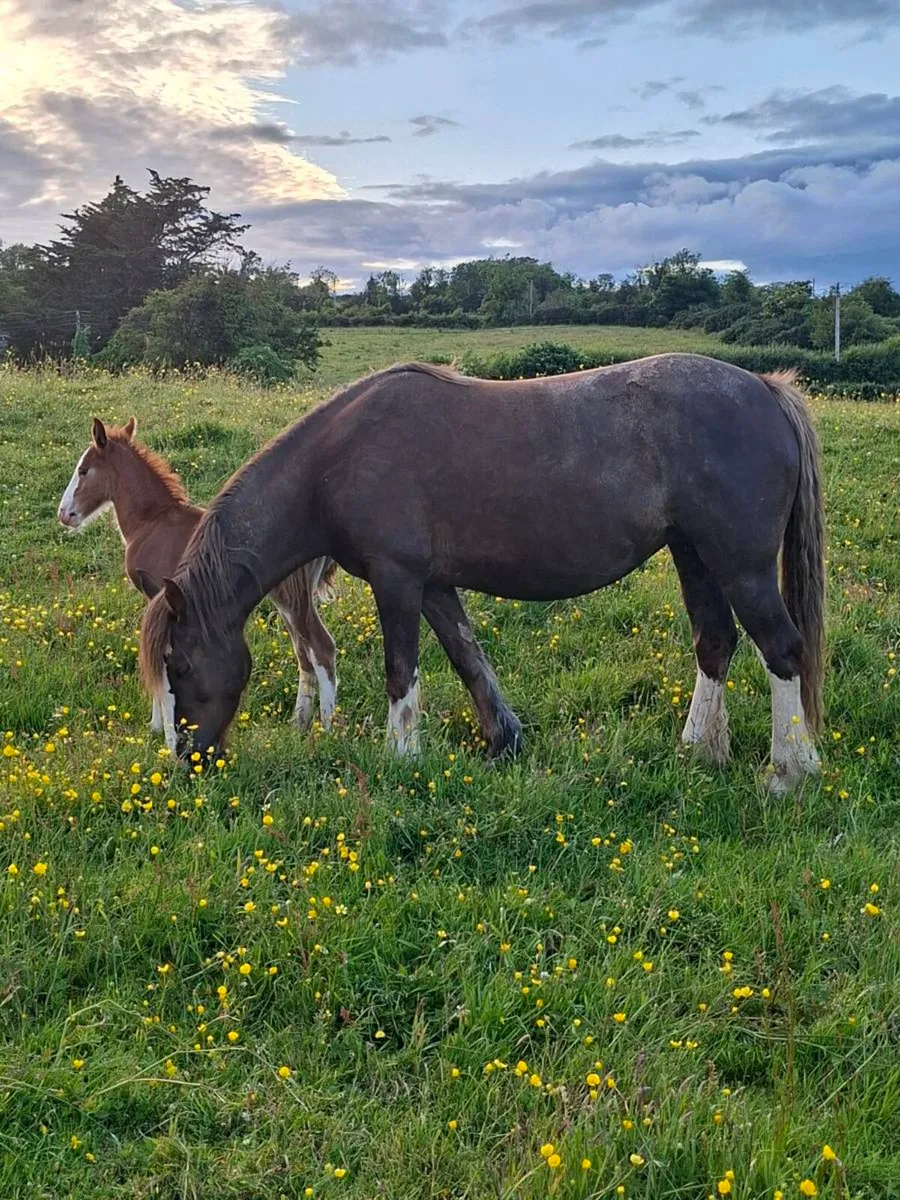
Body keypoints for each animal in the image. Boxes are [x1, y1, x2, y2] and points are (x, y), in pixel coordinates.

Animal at [57, 416, 339, 732]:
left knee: (322, 648)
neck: (151, 522)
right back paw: (299, 723)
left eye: (83, 470)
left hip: (292, 599)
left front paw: (156, 727)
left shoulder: (157, 595)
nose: (64, 514)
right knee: (304, 654)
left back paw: (326, 729)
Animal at [140, 353, 825, 794]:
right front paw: (503, 742)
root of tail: (764, 388)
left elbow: (401, 673)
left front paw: (401, 759)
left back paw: (789, 773)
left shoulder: (397, 580)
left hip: (741, 565)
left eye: (178, 663)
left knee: (782, 650)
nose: (185, 762)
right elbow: (469, 658)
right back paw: (697, 751)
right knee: (716, 643)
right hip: (694, 556)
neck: (336, 461)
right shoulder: (434, 586)